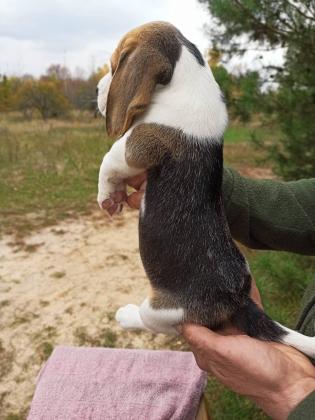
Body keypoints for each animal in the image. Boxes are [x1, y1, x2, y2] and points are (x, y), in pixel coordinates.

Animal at [97, 21, 314, 358]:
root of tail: (236, 300)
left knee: (153, 322)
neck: (185, 76)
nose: (96, 89)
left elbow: (109, 160)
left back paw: (128, 315)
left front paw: (107, 196)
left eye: (113, 64)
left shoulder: (134, 147)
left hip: (161, 310)